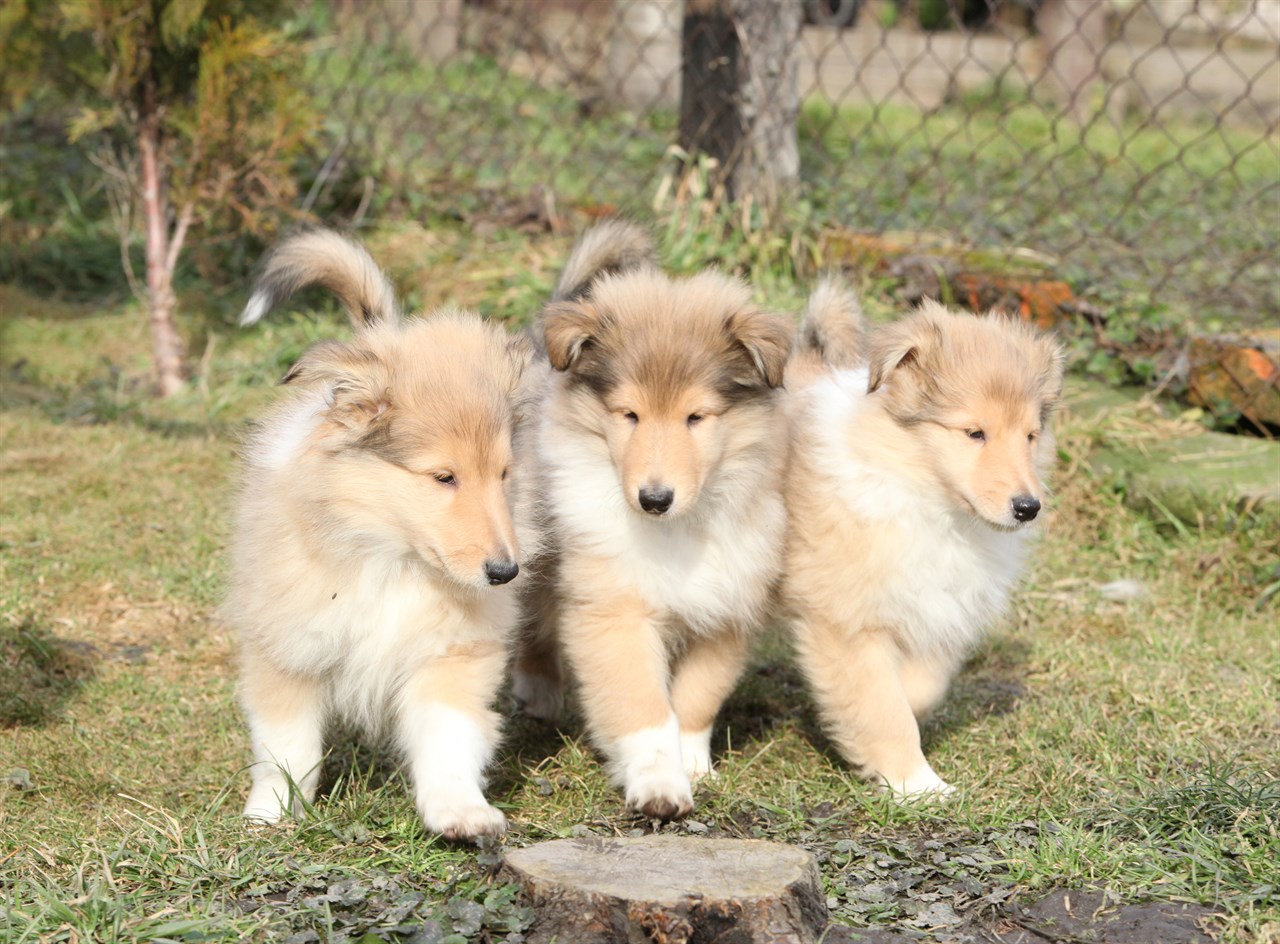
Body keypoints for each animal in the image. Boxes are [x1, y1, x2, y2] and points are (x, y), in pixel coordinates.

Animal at [225, 227, 535, 839]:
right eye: (443, 477)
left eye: (504, 474)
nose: (505, 572)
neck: (391, 556)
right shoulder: (287, 643)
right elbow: (287, 745)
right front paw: (273, 815)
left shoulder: (453, 650)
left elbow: (449, 736)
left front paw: (459, 812)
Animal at [509, 220, 788, 818]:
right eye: (629, 414)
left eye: (696, 417)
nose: (654, 498)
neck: (673, 530)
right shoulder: (613, 610)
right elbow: (643, 707)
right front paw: (659, 785)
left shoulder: (728, 610)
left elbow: (696, 699)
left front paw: (694, 766)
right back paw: (539, 693)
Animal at [783, 285, 1064, 793]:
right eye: (974, 433)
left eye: (1031, 436)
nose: (1028, 507)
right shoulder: (847, 619)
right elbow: (883, 708)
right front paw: (918, 787)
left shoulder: (936, 602)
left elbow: (919, 689)